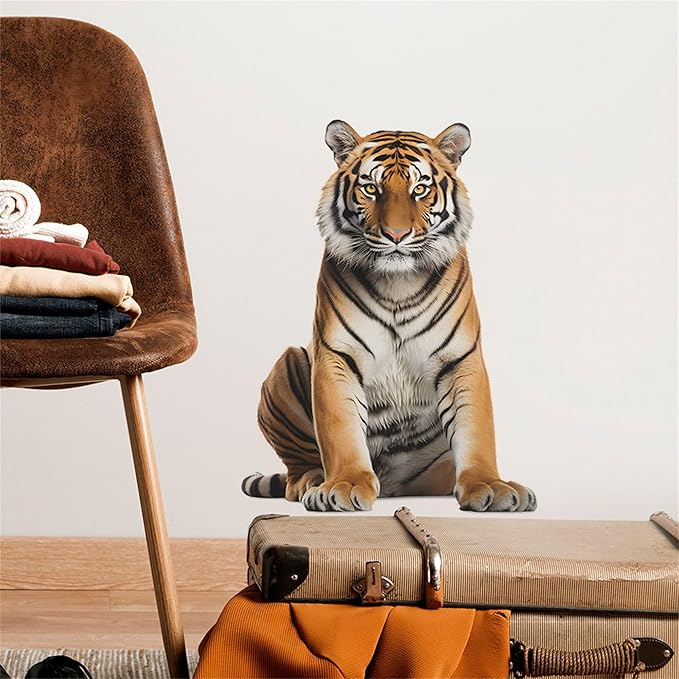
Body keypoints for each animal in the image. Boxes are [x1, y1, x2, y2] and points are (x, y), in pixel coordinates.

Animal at [242, 120, 536, 512]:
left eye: (420, 189)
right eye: (371, 188)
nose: (396, 235)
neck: (399, 283)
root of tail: (394, 487)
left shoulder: (460, 357)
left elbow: (476, 427)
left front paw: (490, 485)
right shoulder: (337, 355)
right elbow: (339, 427)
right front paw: (346, 484)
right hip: (287, 364)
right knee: (298, 465)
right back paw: (313, 480)